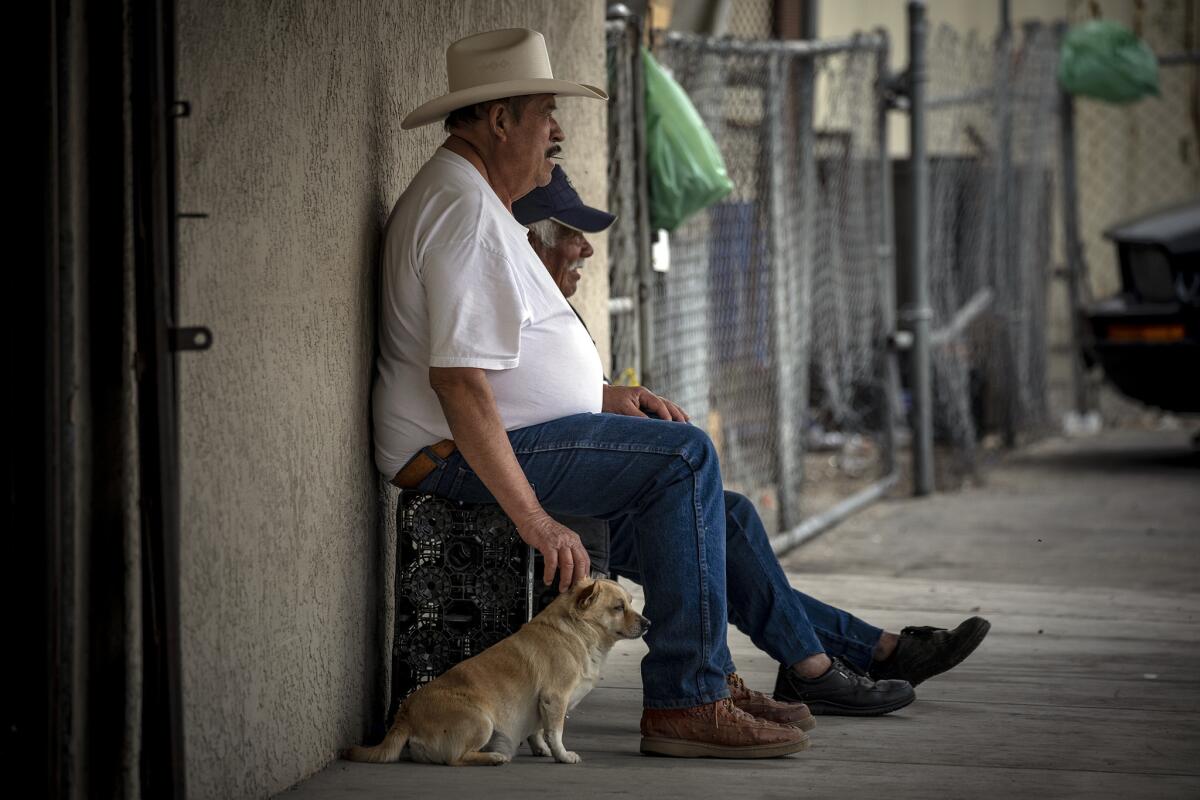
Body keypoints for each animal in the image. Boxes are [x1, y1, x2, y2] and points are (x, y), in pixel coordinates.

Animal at [343, 578, 652, 767]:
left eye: (630, 603)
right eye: (619, 607)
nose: (648, 623)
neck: (577, 631)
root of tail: (406, 713)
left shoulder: (541, 705)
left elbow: (538, 730)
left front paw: (540, 749)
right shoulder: (555, 699)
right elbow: (556, 732)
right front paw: (562, 755)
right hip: (482, 721)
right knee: (455, 758)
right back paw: (493, 757)